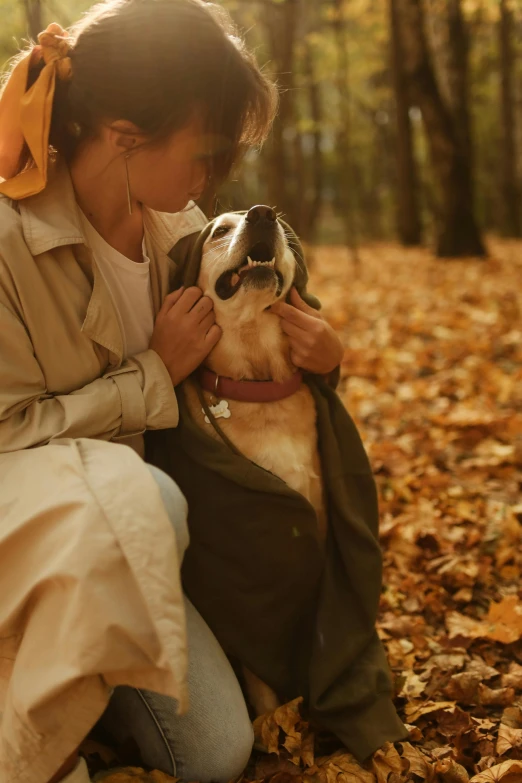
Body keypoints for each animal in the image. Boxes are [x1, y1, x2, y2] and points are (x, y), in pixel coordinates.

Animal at [180, 207, 324, 716]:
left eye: (278, 225)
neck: (260, 388)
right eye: (220, 230)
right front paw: (275, 728)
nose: (263, 215)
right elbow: (262, 685)